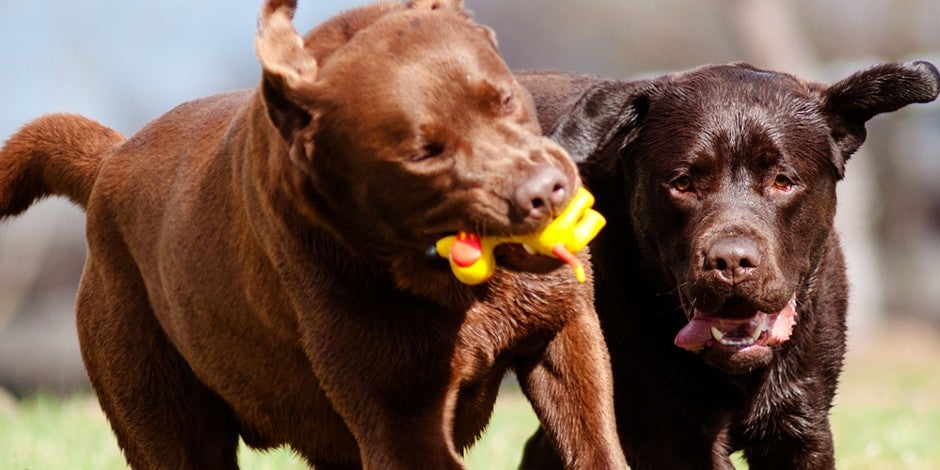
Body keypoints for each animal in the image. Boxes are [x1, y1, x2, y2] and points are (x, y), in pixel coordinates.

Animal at [0, 1, 632, 468]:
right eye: (424, 152)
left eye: (502, 98)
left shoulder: (565, 332)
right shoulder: (398, 417)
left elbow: (593, 439)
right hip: (159, 403)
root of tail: (110, 162)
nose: (546, 191)